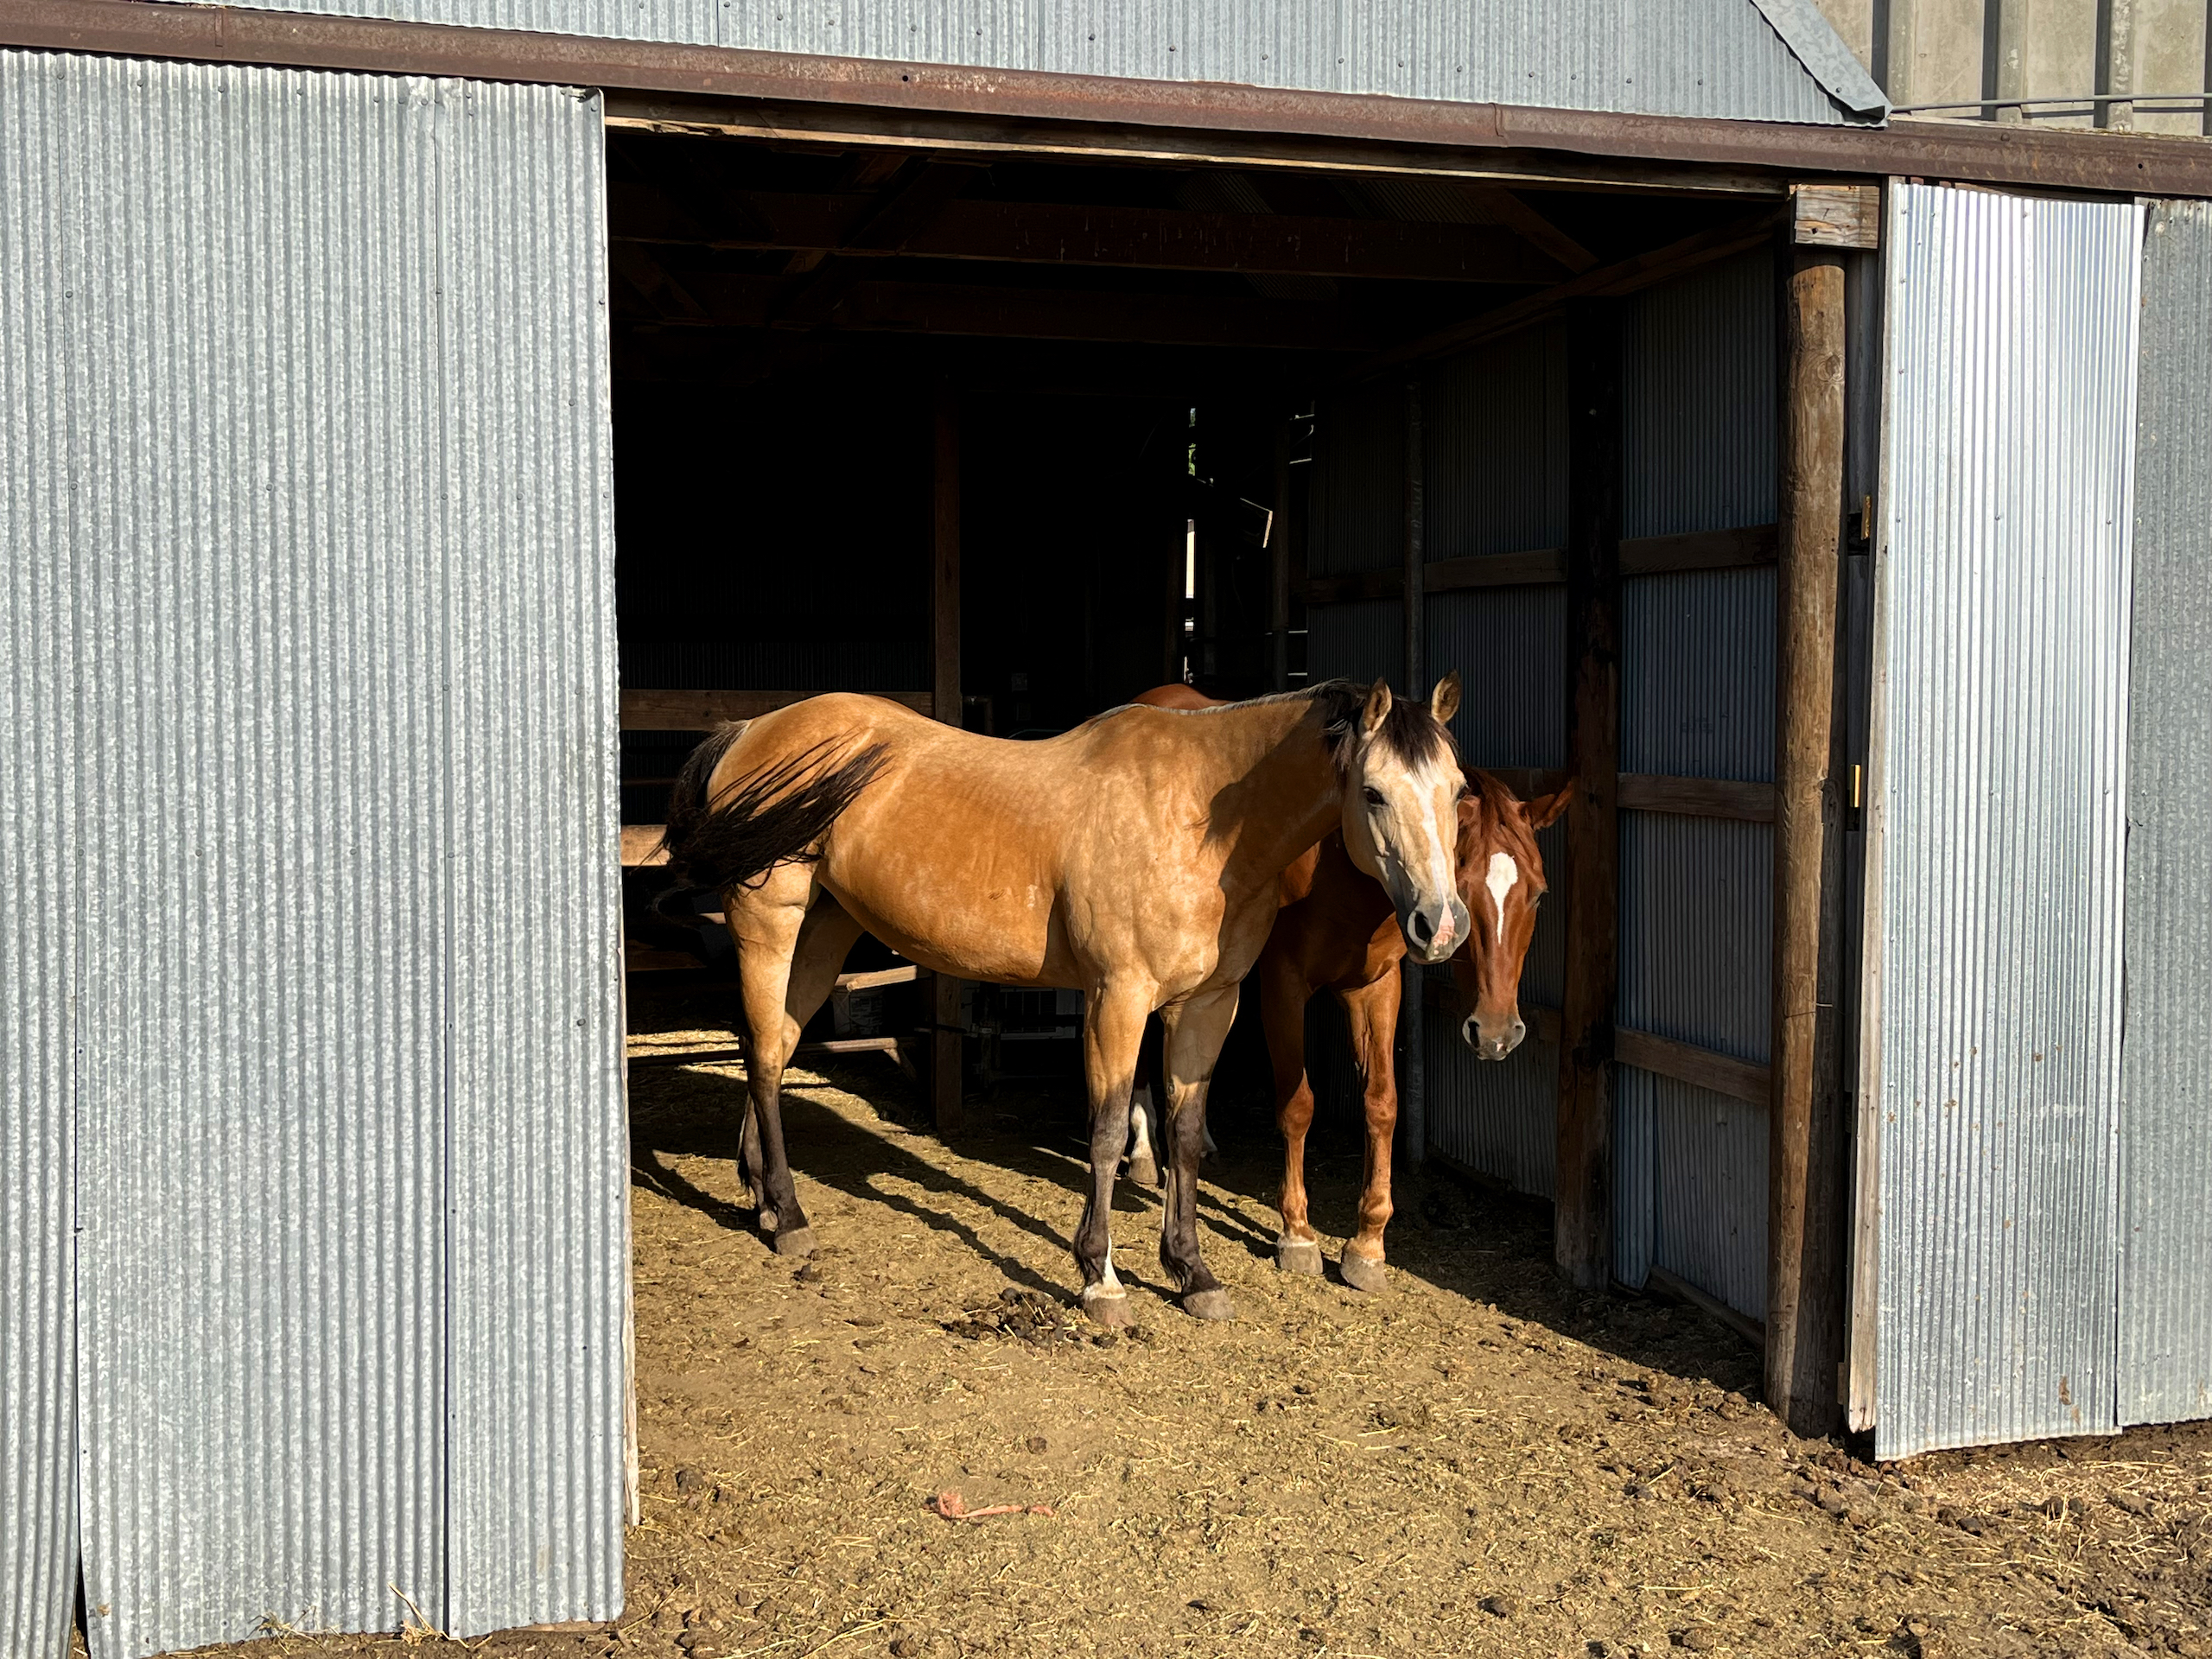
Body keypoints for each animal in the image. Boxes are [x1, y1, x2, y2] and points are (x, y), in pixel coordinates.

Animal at [658, 678, 1469, 1324]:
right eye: (1373, 792)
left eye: (1458, 791)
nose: (1441, 925)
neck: (1199, 820)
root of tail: (752, 728)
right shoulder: (1119, 999)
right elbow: (1107, 1134)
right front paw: (1100, 1278)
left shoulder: (1208, 1006)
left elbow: (1184, 1136)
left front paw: (1192, 1273)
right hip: (770, 919)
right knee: (765, 1054)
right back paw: (790, 1214)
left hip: (826, 925)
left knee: (775, 1044)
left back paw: (762, 1200)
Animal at [1124, 683, 1570, 1292]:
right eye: (1469, 884)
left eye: (1540, 894)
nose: (1498, 1033)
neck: (1339, 866)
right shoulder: (1282, 985)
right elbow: (1297, 1105)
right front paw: (1297, 1233)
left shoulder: (1376, 988)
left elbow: (1382, 1104)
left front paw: (1368, 1244)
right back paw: (1145, 1154)